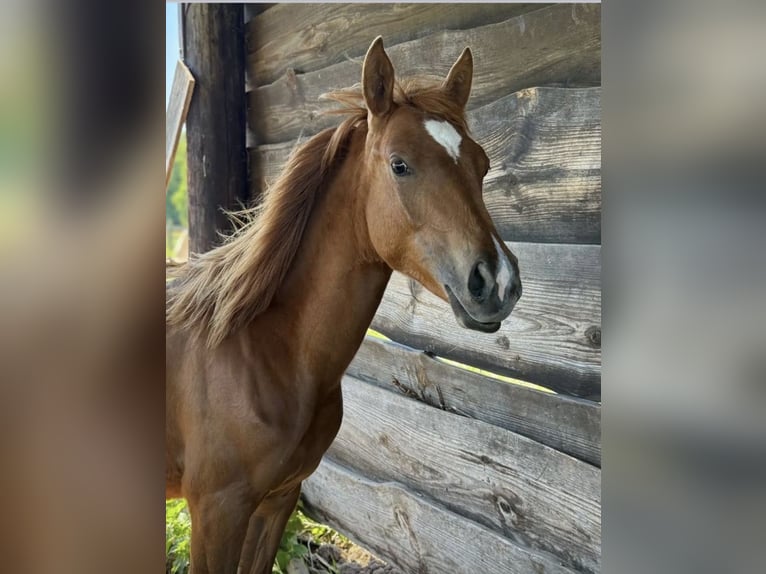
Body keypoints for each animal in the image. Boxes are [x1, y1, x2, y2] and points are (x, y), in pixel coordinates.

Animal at [166, 36, 522, 574]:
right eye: (399, 164)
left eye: (481, 165)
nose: (497, 281)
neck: (261, 350)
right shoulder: (215, 512)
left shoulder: (277, 502)